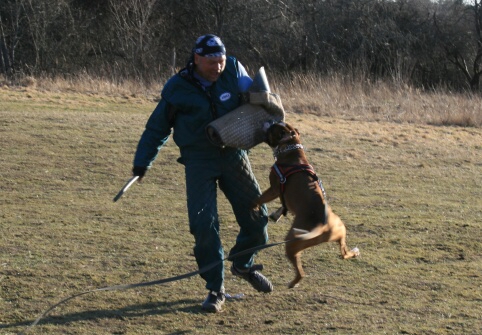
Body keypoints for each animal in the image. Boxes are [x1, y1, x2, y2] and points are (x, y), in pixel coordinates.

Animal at [254, 122, 360, 288]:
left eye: (274, 128)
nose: (270, 122)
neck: (292, 149)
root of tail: (323, 225)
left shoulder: (274, 189)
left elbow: (259, 199)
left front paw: (254, 207)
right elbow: (281, 206)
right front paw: (276, 214)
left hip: (291, 244)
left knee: (301, 272)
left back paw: (292, 283)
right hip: (340, 233)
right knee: (344, 253)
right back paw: (355, 252)